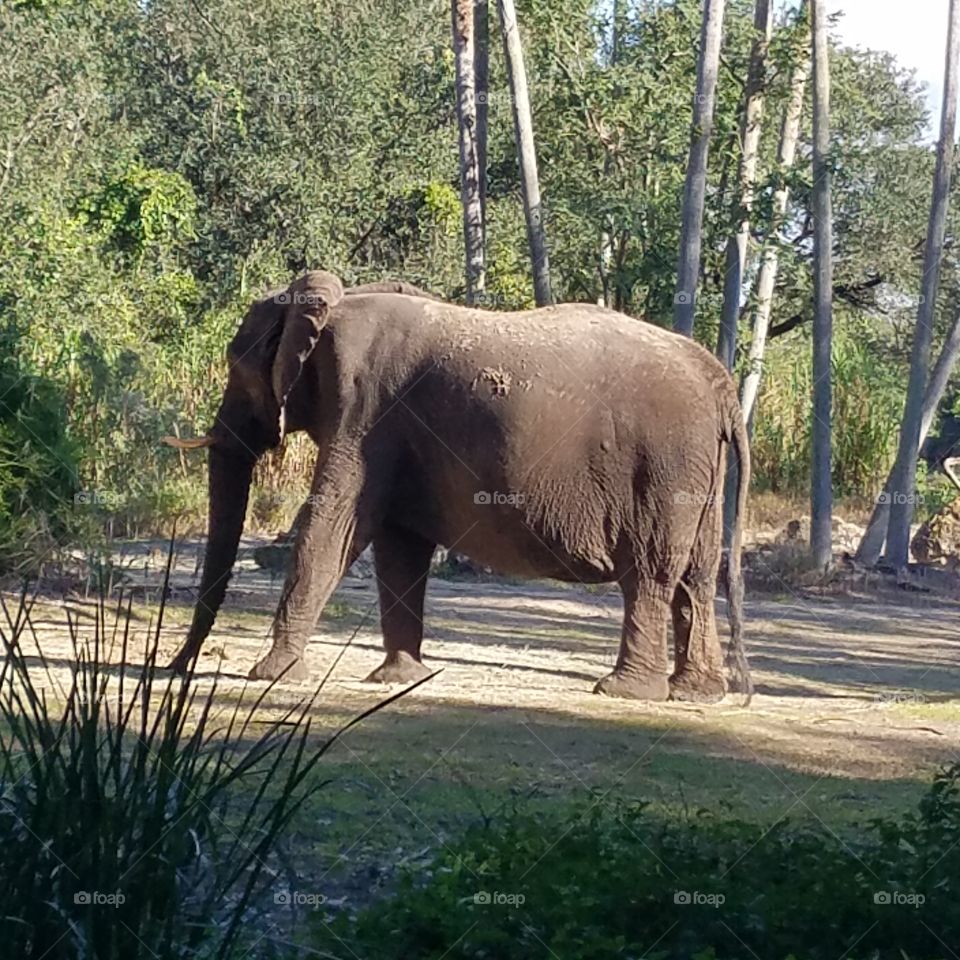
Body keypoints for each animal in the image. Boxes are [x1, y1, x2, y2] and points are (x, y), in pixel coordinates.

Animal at [164, 270, 751, 702]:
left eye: (235, 369)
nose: (175, 669)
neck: (335, 301)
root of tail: (719, 383)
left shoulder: (363, 412)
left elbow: (331, 524)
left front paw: (272, 674)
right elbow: (399, 547)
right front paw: (401, 679)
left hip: (664, 464)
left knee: (651, 574)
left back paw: (624, 692)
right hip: (699, 470)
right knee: (696, 577)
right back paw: (697, 695)